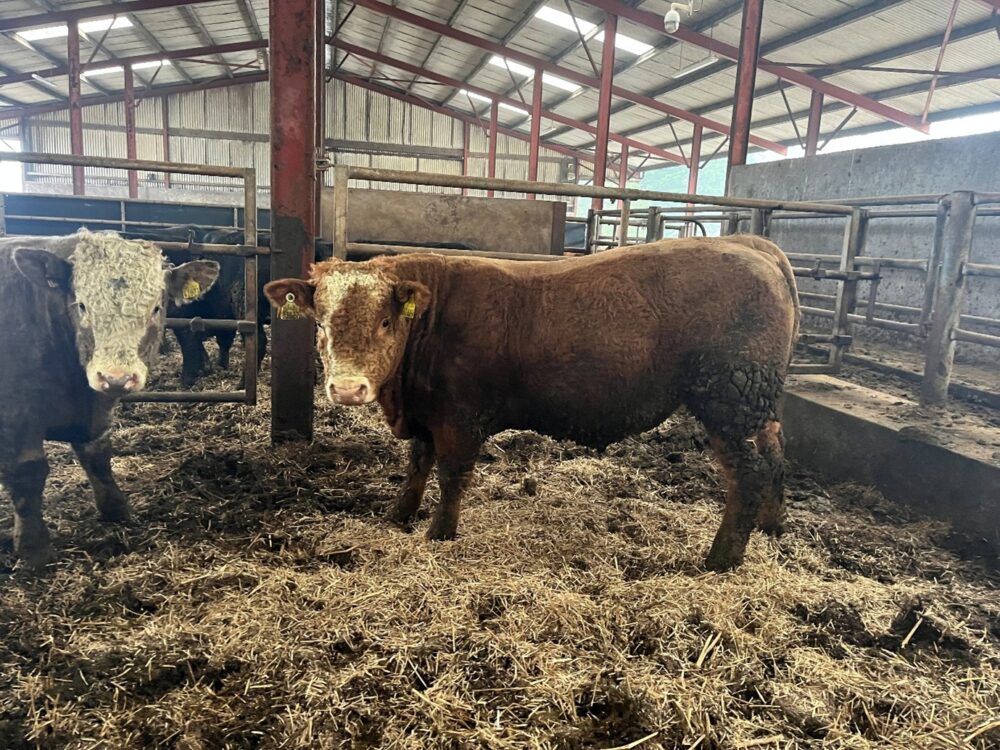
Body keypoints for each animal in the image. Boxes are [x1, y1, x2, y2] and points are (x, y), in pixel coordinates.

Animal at [0, 229, 219, 569]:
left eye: (156, 308)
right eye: (81, 305)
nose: (116, 377)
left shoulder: (97, 413)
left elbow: (98, 456)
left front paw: (117, 510)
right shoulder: (16, 413)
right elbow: (27, 472)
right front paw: (34, 549)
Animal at [265, 236, 800, 571]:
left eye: (384, 322)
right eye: (320, 323)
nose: (347, 389)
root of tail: (751, 245)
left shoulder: (460, 417)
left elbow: (451, 474)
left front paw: (439, 533)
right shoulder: (427, 415)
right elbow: (417, 464)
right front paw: (398, 515)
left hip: (728, 398)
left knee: (748, 474)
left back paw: (720, 561)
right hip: (756, 404)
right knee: (775, 455)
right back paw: (772, 527)